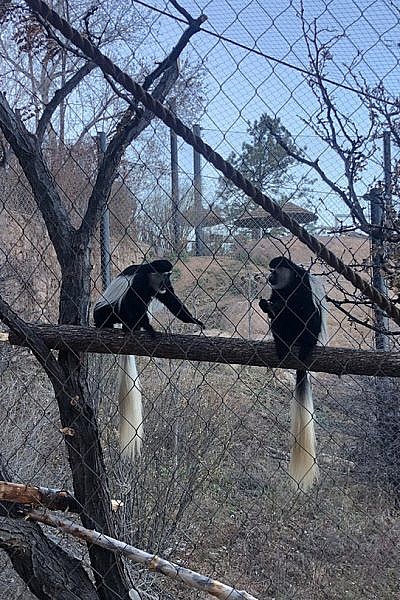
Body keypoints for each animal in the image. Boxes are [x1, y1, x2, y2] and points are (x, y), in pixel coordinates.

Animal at [94, 258, 203, 460]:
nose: (165, 284)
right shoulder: (139, 284)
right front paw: (150, 328)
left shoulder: (162, 290)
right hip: (108, 311)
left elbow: (171, 300)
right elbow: (133, 302)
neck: (150, 277)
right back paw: (122, 325)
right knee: (117, 307)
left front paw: (193, 320)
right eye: (164, 276)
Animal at [260, 255, 328, 490]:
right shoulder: (277, 291)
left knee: (308, 315)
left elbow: (304, 307)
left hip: (310, 330)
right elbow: (275, 306)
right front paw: (268, 306)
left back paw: (305, 346)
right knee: (279, 321)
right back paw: (282, 345)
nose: (270, 277)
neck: (289, 284)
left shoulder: (304, 284)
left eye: (274, 270)